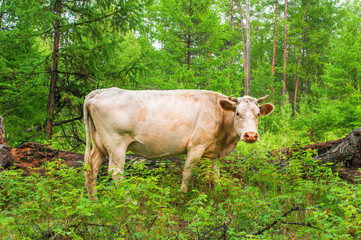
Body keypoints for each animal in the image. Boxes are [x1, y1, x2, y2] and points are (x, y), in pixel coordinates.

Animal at [82, 87, 272, 199]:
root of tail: (99, 92)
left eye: (258, 114)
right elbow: (187, 171)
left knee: (92, 169)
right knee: (116, 173)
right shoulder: (196, 146)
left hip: (100, 144)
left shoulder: (213, 152)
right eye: (238, 113)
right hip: (116, 145)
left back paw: (93, 200)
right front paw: (182, 195)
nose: (251, 135)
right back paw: (130, 201)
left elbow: (215, 175)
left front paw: (218, 194)